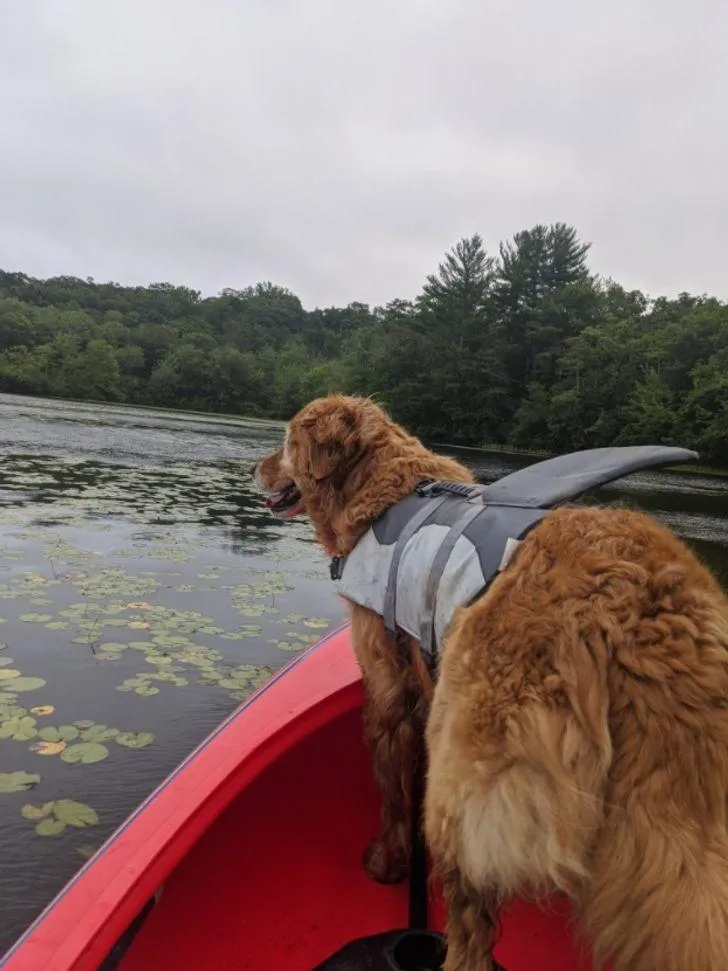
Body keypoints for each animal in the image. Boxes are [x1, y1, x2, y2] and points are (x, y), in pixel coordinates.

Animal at [252, 394, 728, 971]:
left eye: (286, 442)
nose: (255, 468)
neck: (385, 493)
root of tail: (631, 612)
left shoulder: (386, 684)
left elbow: (391, 791)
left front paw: (387, 863)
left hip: (464, 788)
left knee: (470, 935)